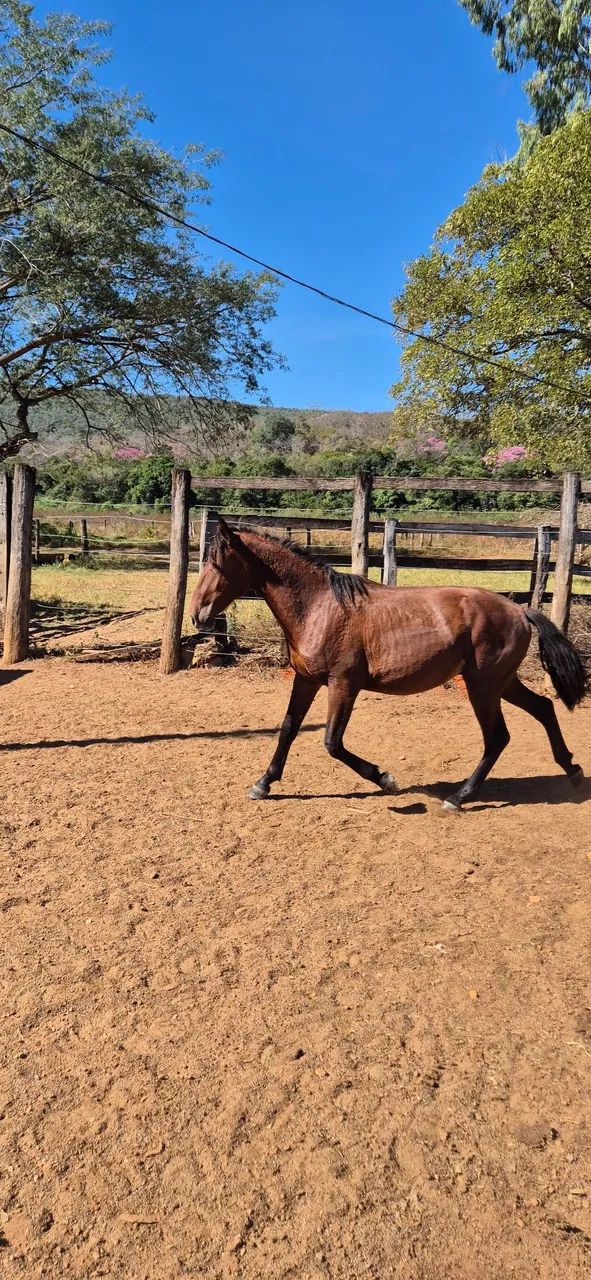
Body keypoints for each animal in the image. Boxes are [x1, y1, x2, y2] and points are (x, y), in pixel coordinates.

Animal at [189, 516, 587, 810]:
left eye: (216, 563)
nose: (197, 615)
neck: (320, 607)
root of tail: (519, 610)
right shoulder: (306, 679)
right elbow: (288, 728)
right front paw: (263, 784)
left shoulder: (343, 684)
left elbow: (332, 742)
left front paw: (386, 779)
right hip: (501, 683)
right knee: (544, 708)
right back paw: (572, 771)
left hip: (483, 687)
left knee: (497, 737)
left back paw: (458, 797)